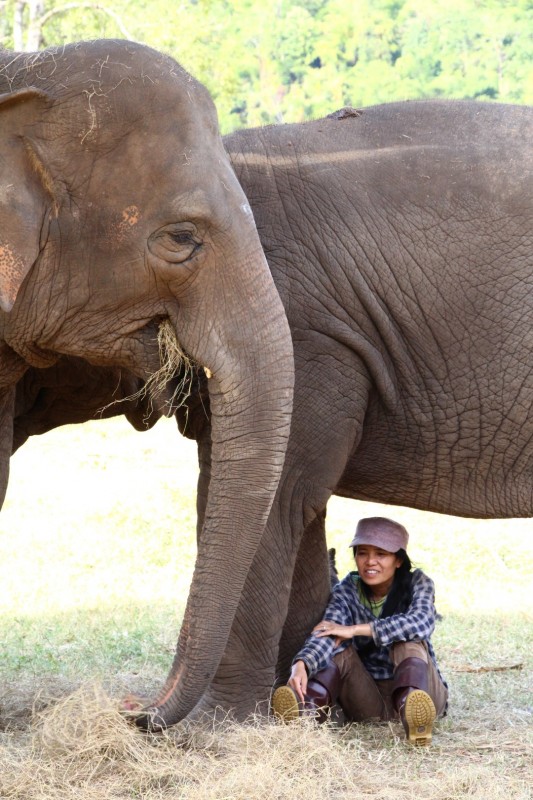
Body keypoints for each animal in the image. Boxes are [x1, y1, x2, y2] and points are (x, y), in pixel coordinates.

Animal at [9, 97, 532, 720]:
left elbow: (275, 495)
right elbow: (290, 504)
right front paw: (298, 706)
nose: (136, 713)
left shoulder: (308, 332)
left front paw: (220, 721)